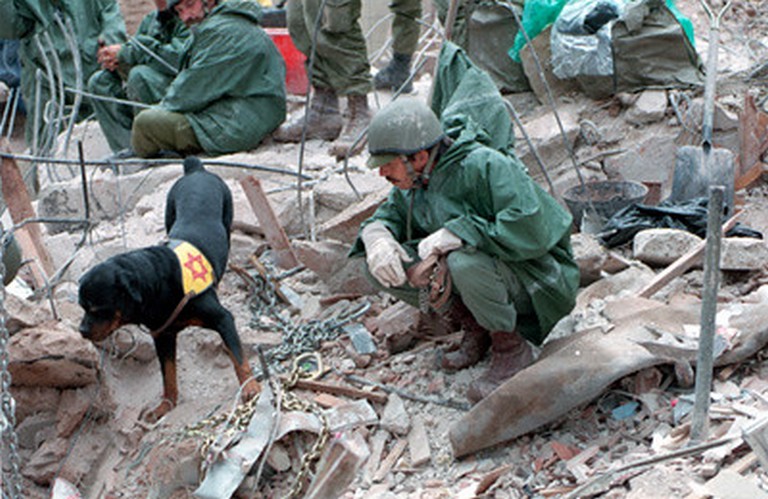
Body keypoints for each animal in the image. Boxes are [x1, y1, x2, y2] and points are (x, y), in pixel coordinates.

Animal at [79, 156, 260, 422]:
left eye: (98, 308)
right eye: (82, 307)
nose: (81, 330)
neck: (157, 288)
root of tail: (196, 170)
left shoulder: (223, 319)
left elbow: (239, 357)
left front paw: (250, 387)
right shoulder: (162, 336)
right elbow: (168, 375)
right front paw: (165, 406)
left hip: (227, 216)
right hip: (169, 211)